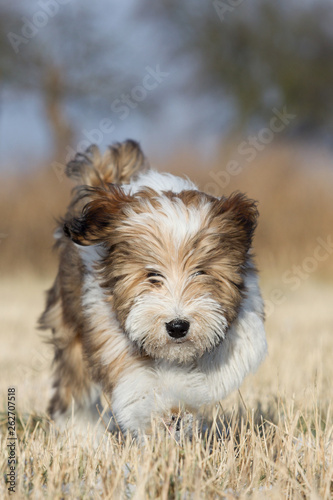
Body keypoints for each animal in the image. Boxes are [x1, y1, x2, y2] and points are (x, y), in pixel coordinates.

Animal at [39, 140, 268, 434]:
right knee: (74, 387)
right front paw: (165, 410)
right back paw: (83, 432)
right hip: (70, 328)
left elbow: (222, 363)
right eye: (152, 275)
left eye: (201, 272)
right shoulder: (104, 319)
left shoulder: (245, 321)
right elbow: (133, 373)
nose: (178, 326)